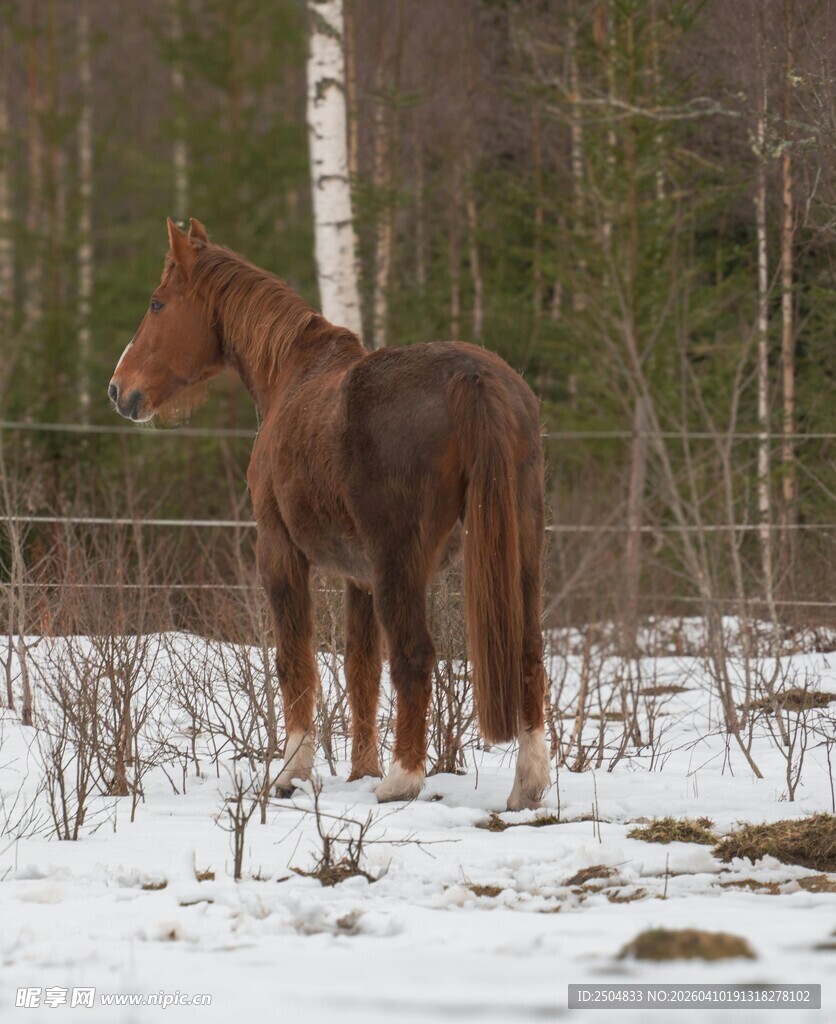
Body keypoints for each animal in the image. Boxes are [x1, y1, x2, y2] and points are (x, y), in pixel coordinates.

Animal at [109, 218, 551, 810]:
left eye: (157, 304)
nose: (119, 389)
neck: (293, 373)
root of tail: (474, 377)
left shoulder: (279, 551)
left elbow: (295, 662)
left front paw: (291, 772)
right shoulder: (357, 577)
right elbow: (359, 669)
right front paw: (360, 769)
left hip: (401, 566)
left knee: (414, 657)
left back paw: (401, 780)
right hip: (518, 553)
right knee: (528, 653)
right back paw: (528, 784)